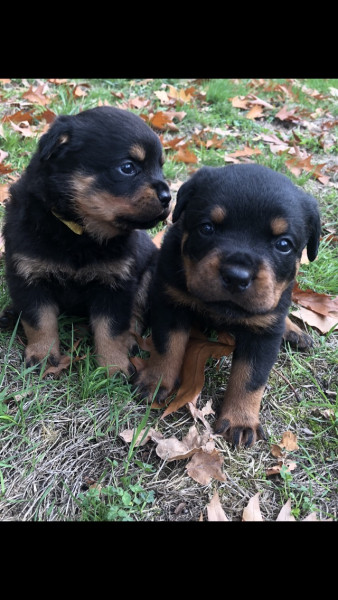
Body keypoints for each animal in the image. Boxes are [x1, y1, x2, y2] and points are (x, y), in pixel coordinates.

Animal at [1, 105, 172, 372]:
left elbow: (111, 329)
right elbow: (40, 320)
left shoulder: (116, 283)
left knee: (136, 315)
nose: (168, 197)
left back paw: (130, 342)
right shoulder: (27, 275)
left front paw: (113, 365)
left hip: (150, 274)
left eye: (160, 167)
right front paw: (43, 355)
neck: (79, 233)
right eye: (128, 167)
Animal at [135, 164, 320, 446]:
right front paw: (156, 381)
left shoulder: (263, 333)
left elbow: (250, 379)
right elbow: (166, 347)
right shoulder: (171, 303)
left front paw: (240, 421)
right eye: (207, 228)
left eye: (283, 244)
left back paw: (295, 331)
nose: (236, 276)